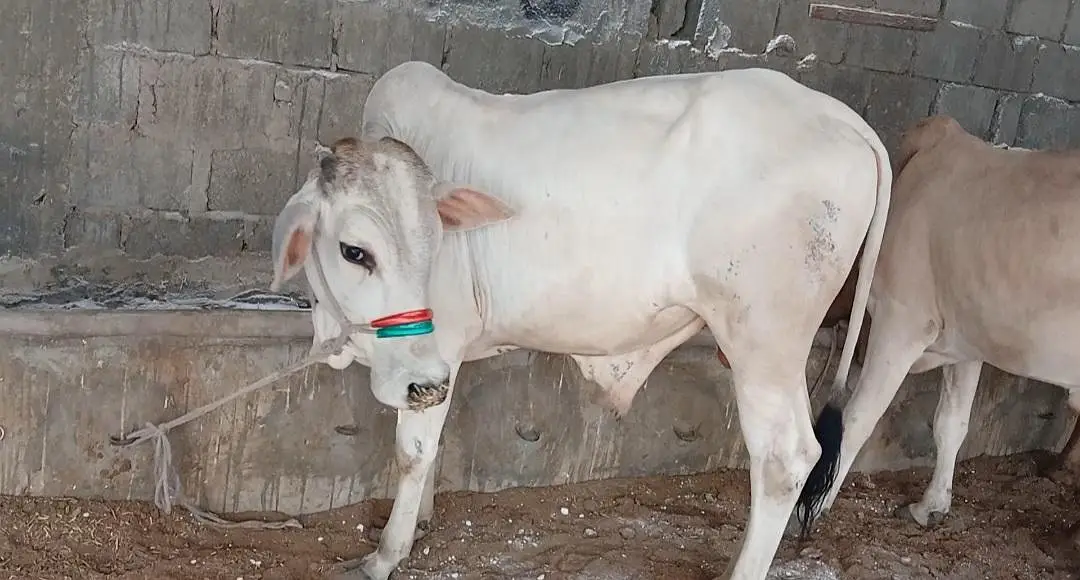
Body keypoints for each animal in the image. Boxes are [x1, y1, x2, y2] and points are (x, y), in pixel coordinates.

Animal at [270, 60, 891, 580]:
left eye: (433, 241)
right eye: (354, 251)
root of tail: (841, 116)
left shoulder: (433, 355)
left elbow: (412, 453)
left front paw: (387, 555)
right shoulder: (439, 368)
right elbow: (434, 445)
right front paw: (419, 521)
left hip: (763, 346)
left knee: (786, 459)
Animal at [794, 115, 1080, 538]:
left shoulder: (902, 320)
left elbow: (858, 418)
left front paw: (814, 506)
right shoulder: (966, 342)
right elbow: (951, 424)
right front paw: (930, 506)